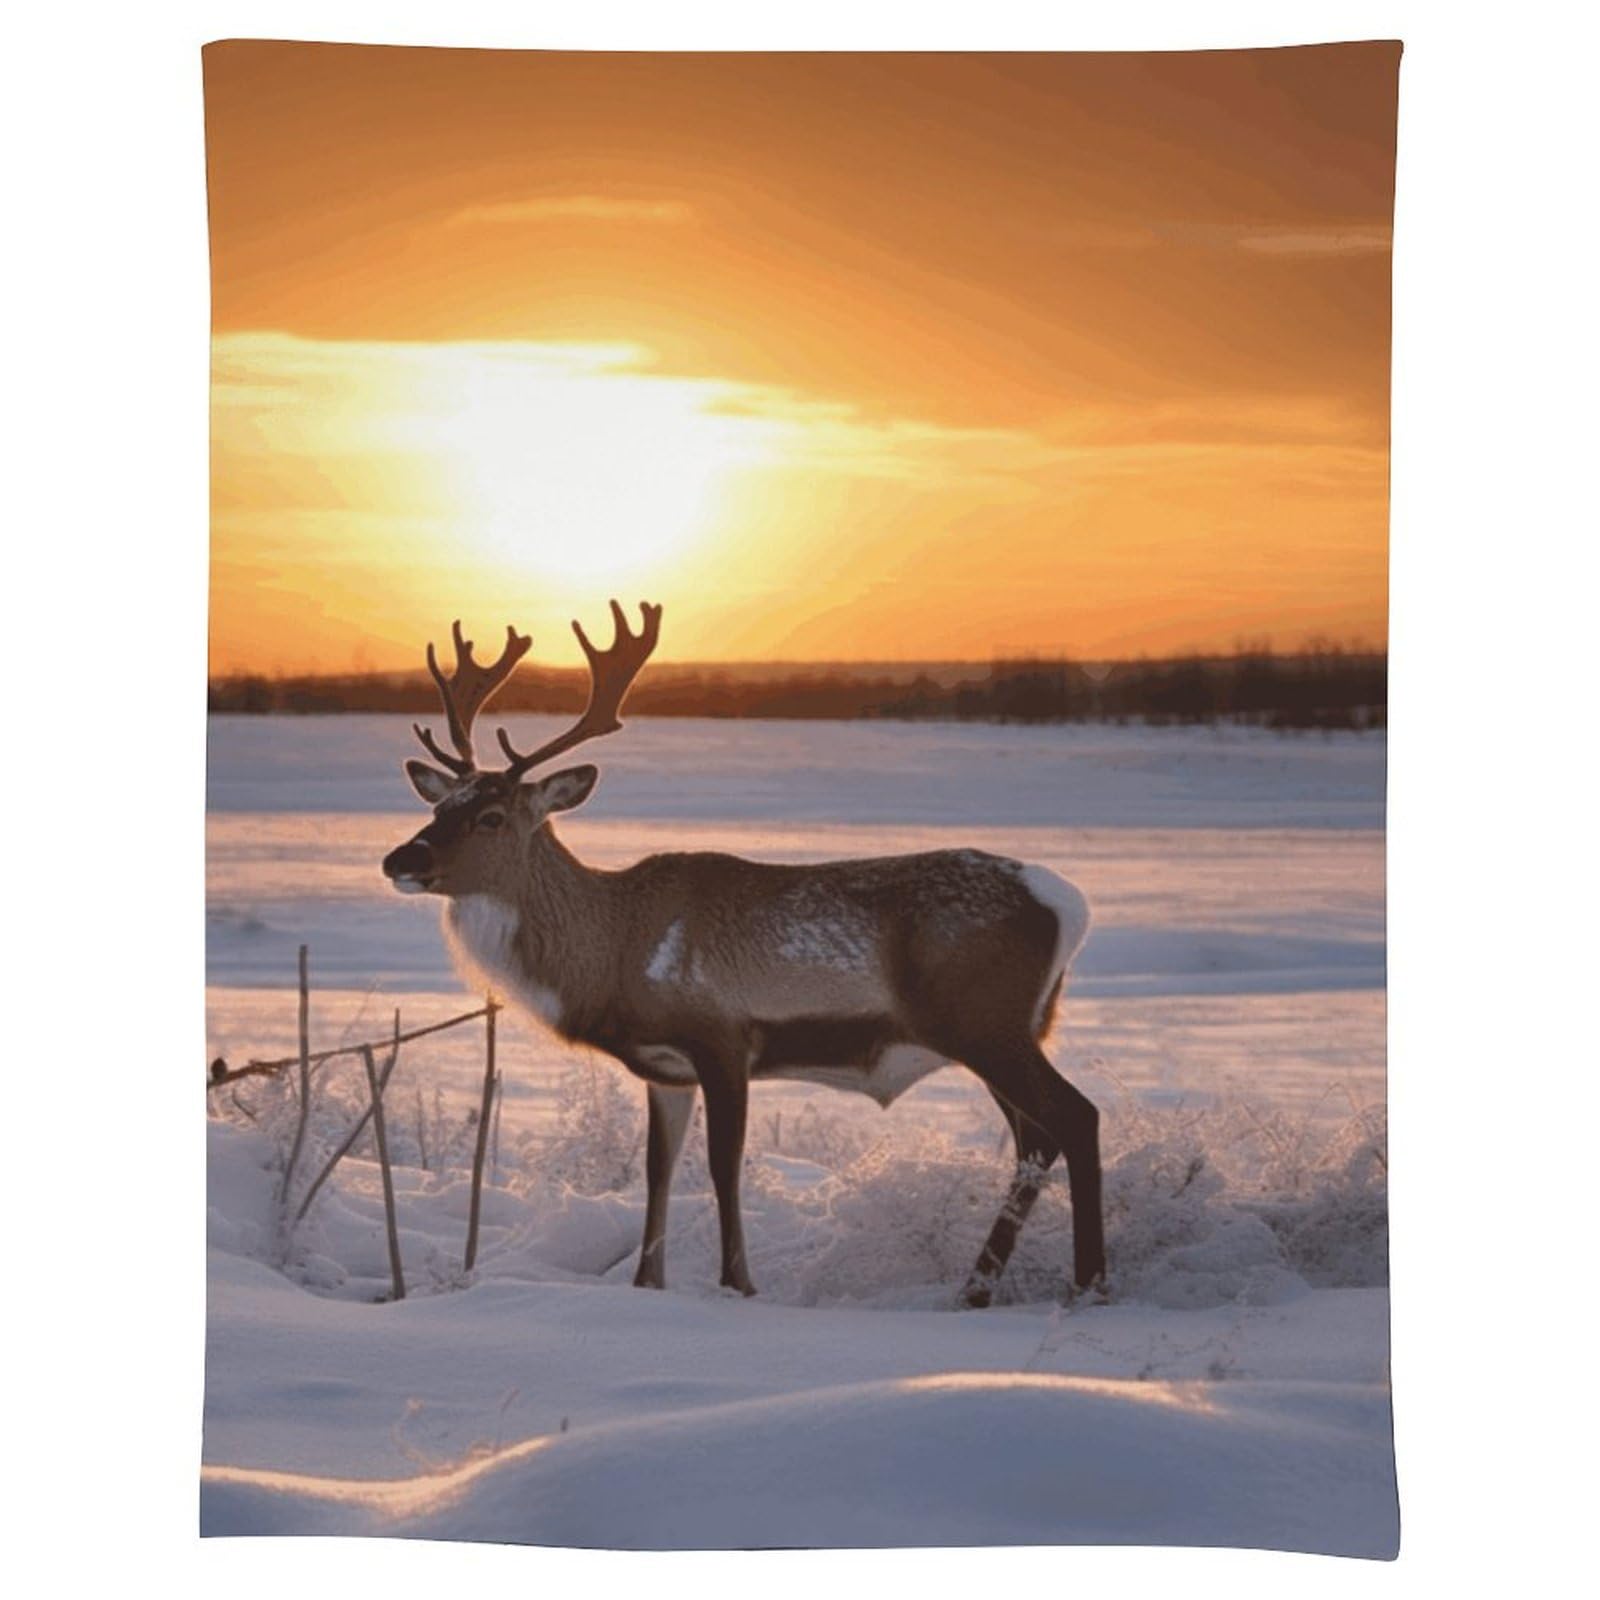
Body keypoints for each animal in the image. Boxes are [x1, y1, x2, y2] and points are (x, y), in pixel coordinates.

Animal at [381, 603, 1105, 1308]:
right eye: (439, 807)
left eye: (492, 817)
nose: (399, 859)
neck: (613, 951)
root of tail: (1071, 904)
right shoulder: (664, 1069)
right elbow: (658, 1173)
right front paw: (648, 1285)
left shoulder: (725, 1037)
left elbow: (723, 1168)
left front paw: (740, 1285)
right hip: (1006, 1030)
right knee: (1035, 1139)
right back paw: (977, 1289)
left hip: (984, 1022)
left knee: (1075, 1116)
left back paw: (1087, 1284)